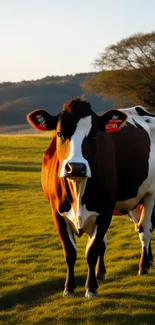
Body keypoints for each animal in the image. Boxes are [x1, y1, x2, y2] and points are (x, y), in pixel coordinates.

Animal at [27, 97, 155, 298]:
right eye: (59, 133)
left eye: (94, 134)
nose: (76, 167)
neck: (78, 189)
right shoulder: (56, 212)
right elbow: (71, 251)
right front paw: (70, 287)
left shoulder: (105, 211)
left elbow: (92, 250)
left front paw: (91, 287)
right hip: (134, 202)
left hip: (150, 194)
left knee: (145, 229)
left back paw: (144, 265)